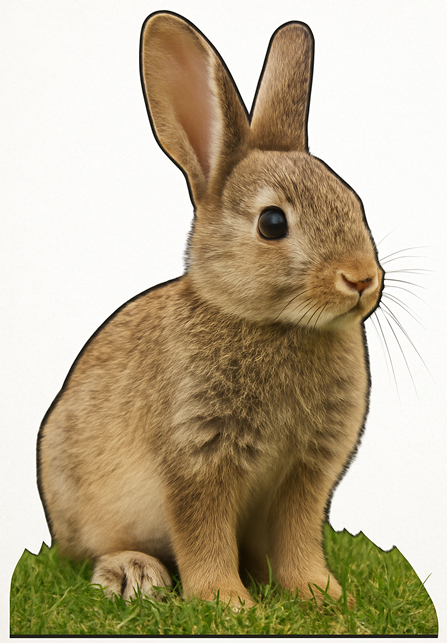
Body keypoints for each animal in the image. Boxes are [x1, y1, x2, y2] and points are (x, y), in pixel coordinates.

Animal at [37, 11, 384, 610]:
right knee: (89, 551)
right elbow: (203, 535)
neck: (274, 324)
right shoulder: (197, 459)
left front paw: (320, 595)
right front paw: (227, 602)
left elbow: (297, 539)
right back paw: (133, 574)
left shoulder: (306, 476)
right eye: (272, 223)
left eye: (353, 203)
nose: (361, 278)